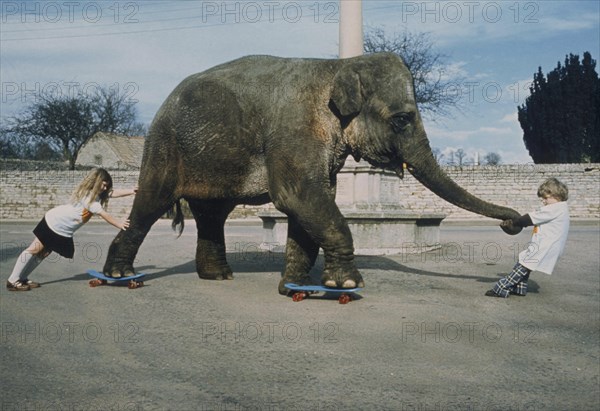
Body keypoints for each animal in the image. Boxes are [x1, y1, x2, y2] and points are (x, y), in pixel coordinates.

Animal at [104, 53, 520, 294]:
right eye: (402, 119)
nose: (515, 222)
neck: (338, 65)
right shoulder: (296, 130)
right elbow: (299, 196)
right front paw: (346, 285)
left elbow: (311, 204)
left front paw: (296, 288)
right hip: (164, 146)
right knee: (151, 203)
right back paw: (119, 276)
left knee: (212, 213)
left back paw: (218, 277)